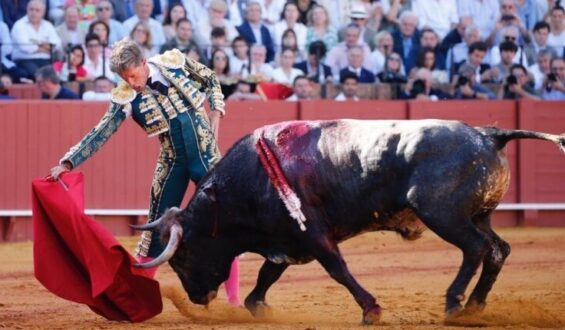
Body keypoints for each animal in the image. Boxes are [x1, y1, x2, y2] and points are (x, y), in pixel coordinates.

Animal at [133, 119, 564, 324]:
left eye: (181, 257)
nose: (197, 299)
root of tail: (488, 134)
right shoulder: (285, 240)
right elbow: (268, 275)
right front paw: (258, 307)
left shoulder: (311, 233)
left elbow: (337, 269)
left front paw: (371, 310)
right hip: (478, 215)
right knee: (498, 249)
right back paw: (475, 307)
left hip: (444, 215)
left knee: (476, 248)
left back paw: (455, 303)